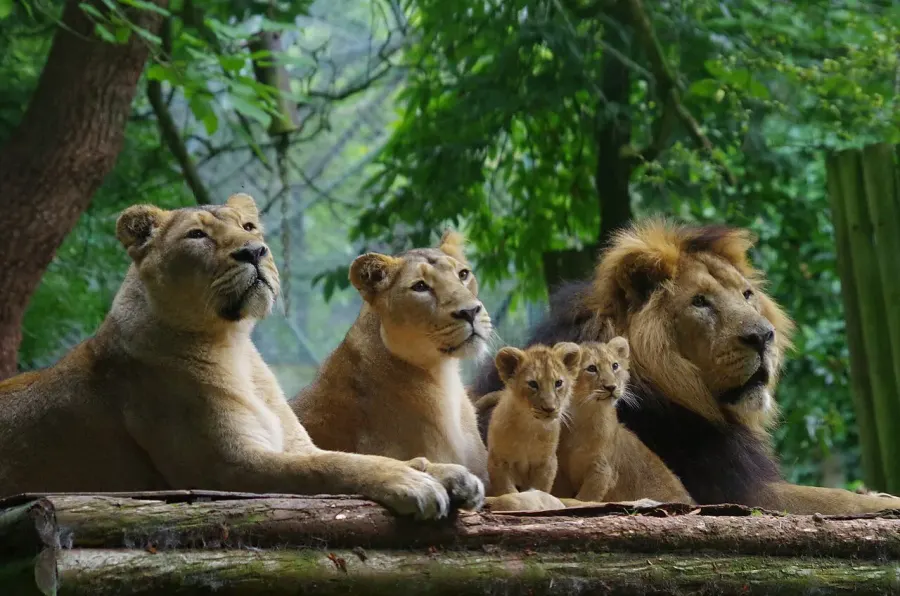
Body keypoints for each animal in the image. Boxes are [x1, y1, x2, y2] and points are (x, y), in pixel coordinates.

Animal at [0, 194, 483, 520]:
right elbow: (333, 465)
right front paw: (414, 484)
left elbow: (356, 456)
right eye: (197, 235)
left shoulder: (295, 443)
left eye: (250, 227)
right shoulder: (230, 469)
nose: (255, 251)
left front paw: (450, 474)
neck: (233, 345)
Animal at [484, 342, 581, 496]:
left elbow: (540, 488)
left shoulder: (547, 463)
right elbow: (507, 490)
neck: (530, 427)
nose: (550, 408)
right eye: (533, 384)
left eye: (558, 383)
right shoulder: (498, 461)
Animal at [554, 338, 693, 504]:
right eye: (592, 368)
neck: (583, 416)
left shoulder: (602, 470)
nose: (611, 387)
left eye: (615, 366)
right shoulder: (562, 471)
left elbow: (587, 499)